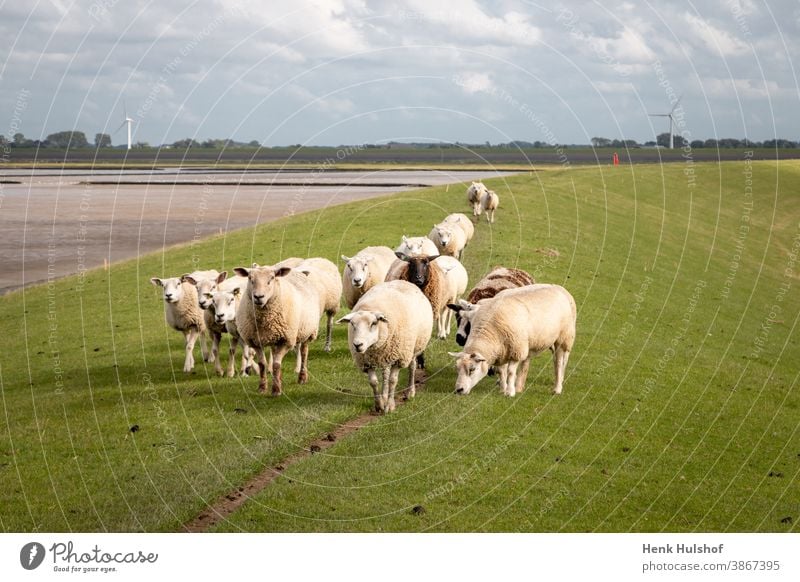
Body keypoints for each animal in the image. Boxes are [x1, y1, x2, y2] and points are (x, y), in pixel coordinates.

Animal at [233, 266, 320, 396]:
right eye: (250, 278)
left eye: (272, 278)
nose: (258, 297)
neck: (264, 319)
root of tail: (296, 271)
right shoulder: (255, 341)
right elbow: (262, 365)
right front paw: (262, 388)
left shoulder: (286, 340)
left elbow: (276, 364)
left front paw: (276, 390)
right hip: (275, 338)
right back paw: (279, 378)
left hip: (308, 331)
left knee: (304, 353)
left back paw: (302, 377)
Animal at [336, 280, 432, 412]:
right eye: (352, 324)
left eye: (373, 323)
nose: (357, 345)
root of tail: (402, 281)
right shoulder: (366, 362)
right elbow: (373, 382)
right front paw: (379, 404)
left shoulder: (399, 358)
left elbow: (393, 381)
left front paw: (390, 406)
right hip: (387, 354)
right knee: (385, 373)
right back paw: (385, 395)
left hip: (413, 348)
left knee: (412, 367)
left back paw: (410, 392)